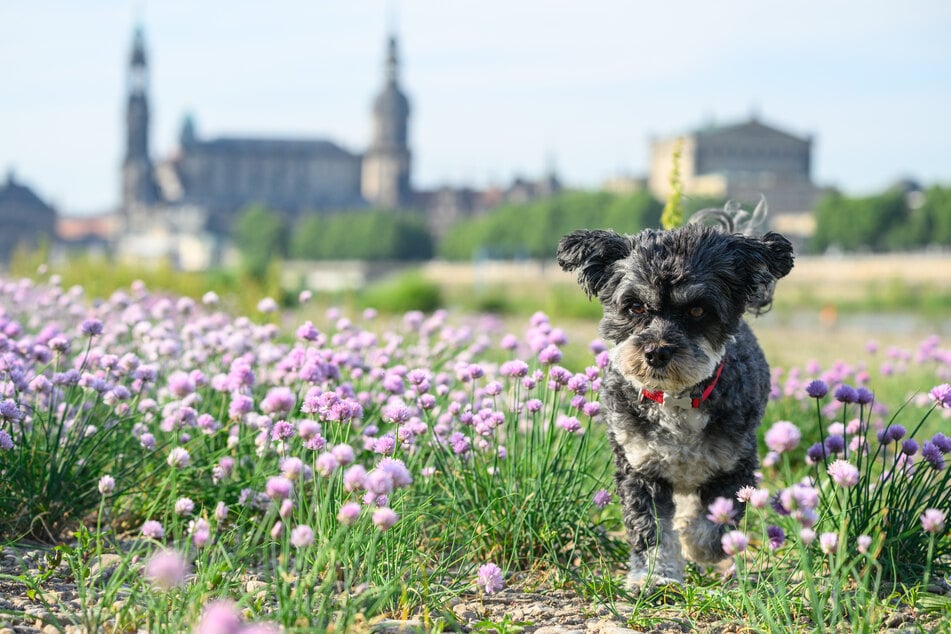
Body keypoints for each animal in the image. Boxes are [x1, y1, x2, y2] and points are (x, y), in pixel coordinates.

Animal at [556, 217, 796, 588]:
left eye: (697, 309)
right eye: (635, 306)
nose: (656, 352)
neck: (676, 399)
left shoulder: (734, 466)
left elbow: (713, 527)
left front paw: (695, 544)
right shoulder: (641, 469)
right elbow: (650, 529)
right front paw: (655, 575)